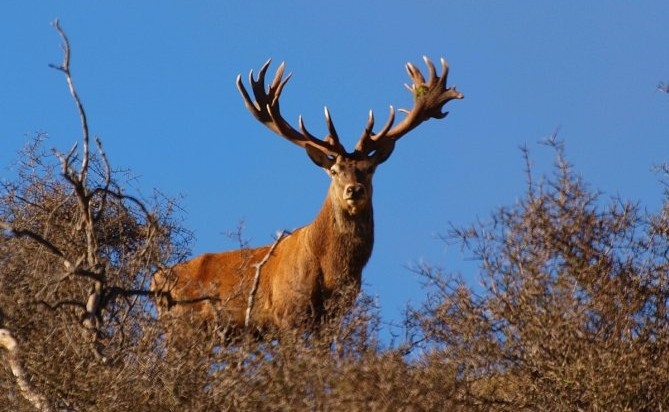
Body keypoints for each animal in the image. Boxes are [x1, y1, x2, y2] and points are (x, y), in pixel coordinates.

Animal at [152, 56, 462, 336]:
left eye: (369, 169)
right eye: (334, 171)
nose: (354, 190)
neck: (331, 271)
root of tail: (156, 280)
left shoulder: (333, 318)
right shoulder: (289, 312)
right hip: (181, 327)